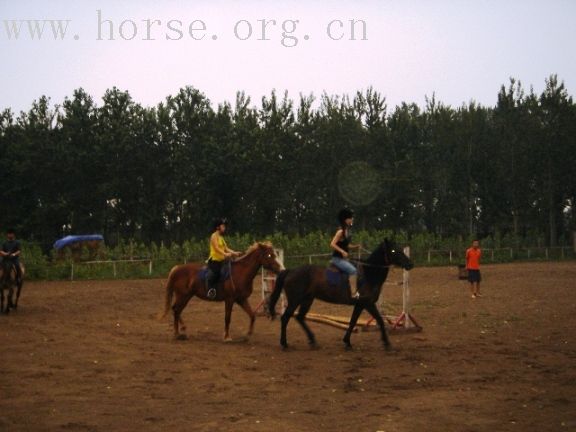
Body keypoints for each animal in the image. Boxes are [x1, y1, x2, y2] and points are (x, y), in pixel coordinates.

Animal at [270, 240, 414, 352]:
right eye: (394, 251)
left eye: (401, 249)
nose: (410, 264)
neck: (369, 273)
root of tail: (290, 271)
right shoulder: (367, 303)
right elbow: (379, 320)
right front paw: (387, 343)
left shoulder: (360, 304)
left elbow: (353, 321)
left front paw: (347, 342)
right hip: (295, 300)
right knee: (285, 318)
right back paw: (284, 344)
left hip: (307, 300)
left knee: (300, 317)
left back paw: (313, 341)